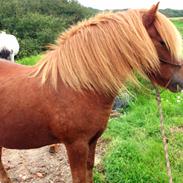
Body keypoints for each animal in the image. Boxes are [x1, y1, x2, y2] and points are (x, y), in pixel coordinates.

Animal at [0, 3, 183, 183]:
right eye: (162, 42)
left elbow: (89, 170)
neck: (79, 88)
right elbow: (79, 177)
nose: (180, 80)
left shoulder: (92, 140)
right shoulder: (76, 146)